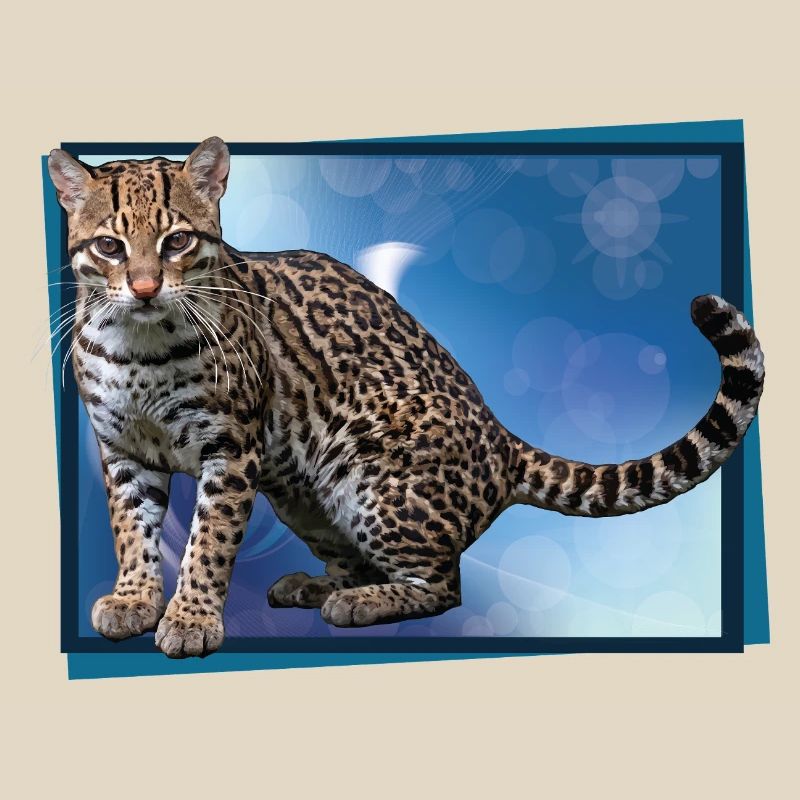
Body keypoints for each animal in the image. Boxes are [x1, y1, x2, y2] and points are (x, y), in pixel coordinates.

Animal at [48, 137, 765, 658]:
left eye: (177, 241)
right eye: (110, 246)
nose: (144, 288)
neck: (138, 345)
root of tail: (503, 438)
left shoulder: (231, 446)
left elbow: (208, 540)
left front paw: (192, 616)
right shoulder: (121, 449)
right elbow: (131, 529)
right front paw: (135, 599)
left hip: (368, 479)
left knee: (444, 584)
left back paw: (359, 602)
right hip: (304, 495)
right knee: (359, 561)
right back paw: (318, 585)